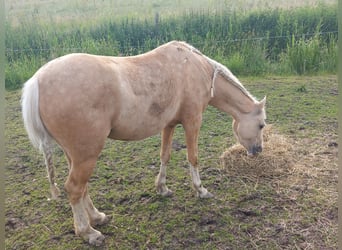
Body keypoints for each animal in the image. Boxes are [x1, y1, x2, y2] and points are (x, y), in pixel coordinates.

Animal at [21, 41, 268, 246]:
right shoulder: (192, 122)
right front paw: (201, 190)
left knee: (82, 188)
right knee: (74, 188)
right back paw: (88, 232)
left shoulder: (169, 125)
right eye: (262, 125)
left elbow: (165, 156)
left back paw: (97, 217)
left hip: (77, 155)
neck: (196, 68)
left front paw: (162, 188)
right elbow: (193, 157)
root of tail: (38, 80)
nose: (258, 151)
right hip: (86, 154)